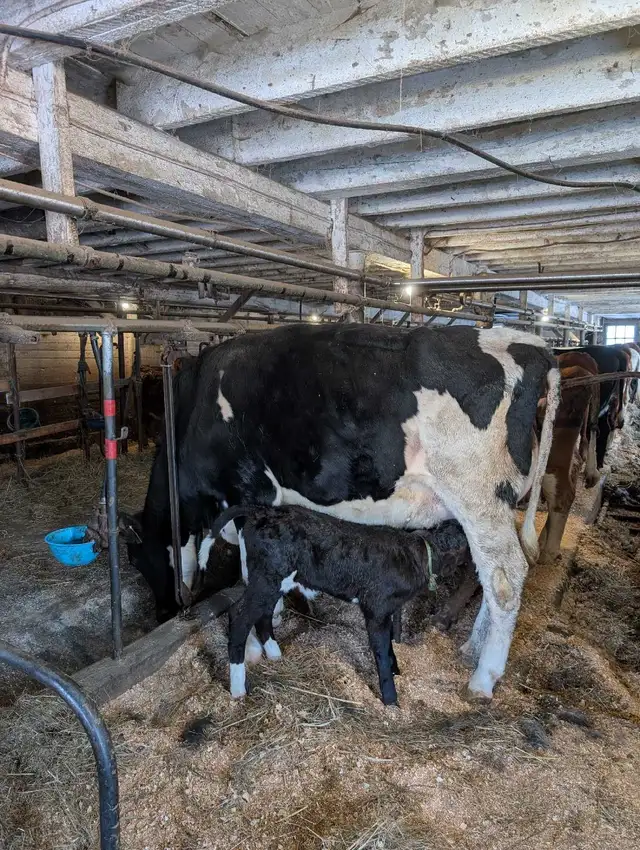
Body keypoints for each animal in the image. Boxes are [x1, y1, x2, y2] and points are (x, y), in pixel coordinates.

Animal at [122, 323, 560, 701]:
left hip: (480, 499)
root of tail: (530, 344)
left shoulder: (249, 493)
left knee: (506, 579)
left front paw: (257, 641)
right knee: (490, 576)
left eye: (140, 562)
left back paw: (483, 677)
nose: (162, 612)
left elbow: (250, 569)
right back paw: (472, 646)